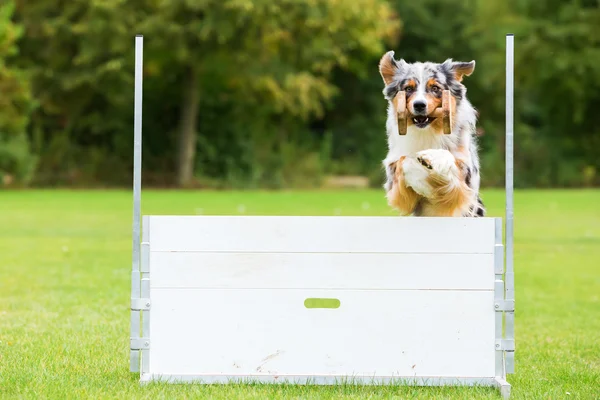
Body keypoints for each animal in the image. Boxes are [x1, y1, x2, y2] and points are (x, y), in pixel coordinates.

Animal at [380, 51, 488, 219]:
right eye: (408, 88)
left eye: (435, 88)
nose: (419, 105)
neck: (427, 131)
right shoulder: (394, 181)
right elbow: (404, 161)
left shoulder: (466, 177)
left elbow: (448, 158)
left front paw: (433, 157)